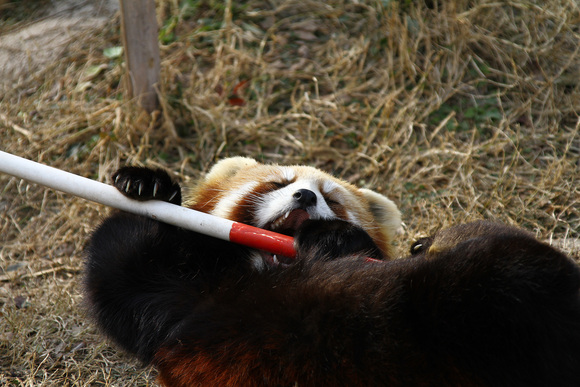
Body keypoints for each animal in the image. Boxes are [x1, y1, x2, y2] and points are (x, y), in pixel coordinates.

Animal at [85, 158, 580, 387]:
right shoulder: (179, 307)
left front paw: (334, 237)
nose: (305, 197)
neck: (268, 276)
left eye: (333, 198)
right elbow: (119, 276)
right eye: (278, 184)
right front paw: (146, 184)